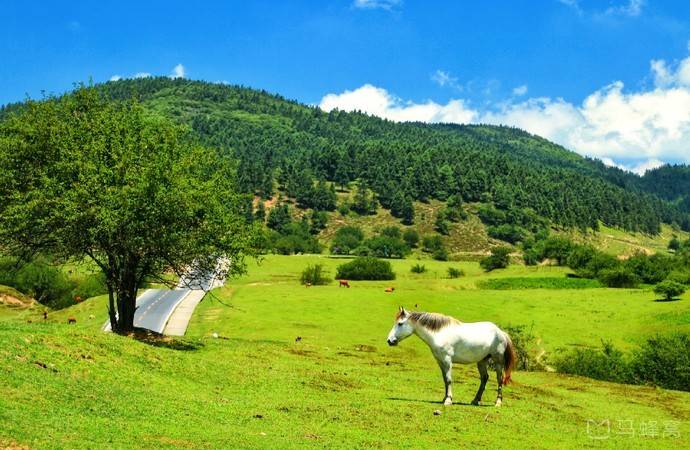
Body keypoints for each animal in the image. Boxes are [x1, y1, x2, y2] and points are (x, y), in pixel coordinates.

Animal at [384, 308, 512, 406]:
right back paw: (475, 400)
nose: (390, 340)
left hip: (498, 361)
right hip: (481, 361)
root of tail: (501, 332)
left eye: (400, 323)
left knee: (499, 379)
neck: (439, 333)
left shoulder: (447, 360)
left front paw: (448, 400)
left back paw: (498, 402)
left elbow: (449, 379)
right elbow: (445, 380)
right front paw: (444, 398)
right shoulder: (440, 361)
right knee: (484, 378)